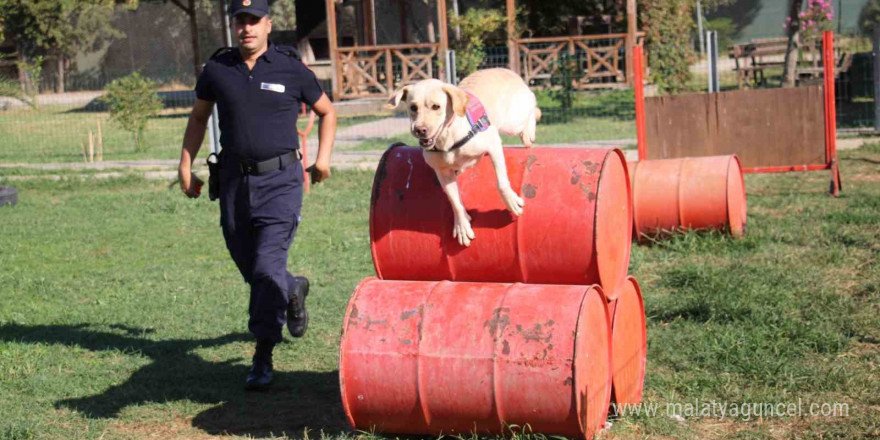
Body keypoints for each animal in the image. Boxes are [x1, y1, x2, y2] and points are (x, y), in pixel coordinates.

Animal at [386, 68, 540, 248]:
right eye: (413, 107)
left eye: (436, 106)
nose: (420, 130)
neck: (447, 138)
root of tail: (504, 69)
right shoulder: (443, 173)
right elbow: (455, 201)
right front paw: (462, 226)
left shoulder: (493, 144)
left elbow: (501, 183)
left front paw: (511, 202)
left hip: (512, 121)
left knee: (533, 106)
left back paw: (528, 133)